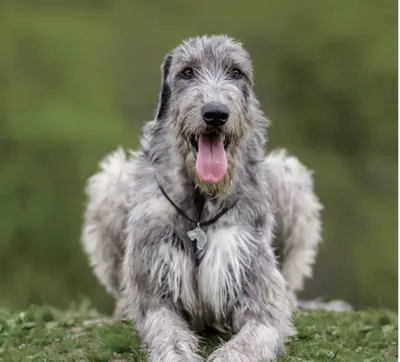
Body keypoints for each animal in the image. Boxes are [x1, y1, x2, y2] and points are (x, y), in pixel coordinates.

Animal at [80, 36, 322, 362]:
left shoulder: (255, 290)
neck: (201, 202)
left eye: (236, 72)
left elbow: (254, 333)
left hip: (288, 176)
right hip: (112, 182)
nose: (216, 113)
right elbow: (167, 333)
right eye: (187, 72)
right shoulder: (158, 289)